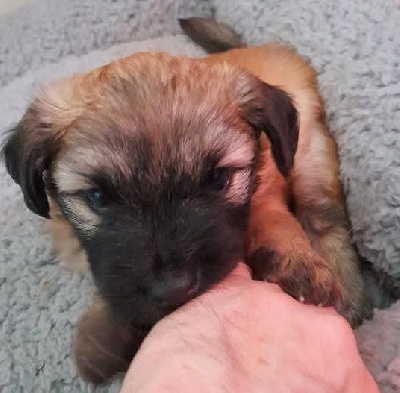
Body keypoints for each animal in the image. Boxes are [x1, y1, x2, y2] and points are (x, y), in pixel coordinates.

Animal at [2, 18, 372, 382]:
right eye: (97, 197)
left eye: (219, 179)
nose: (174, 289)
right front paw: (103, 330)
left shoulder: (267, 185)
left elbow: (271, 218)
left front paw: (294, 260)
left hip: (311, 154)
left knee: (325, 219)